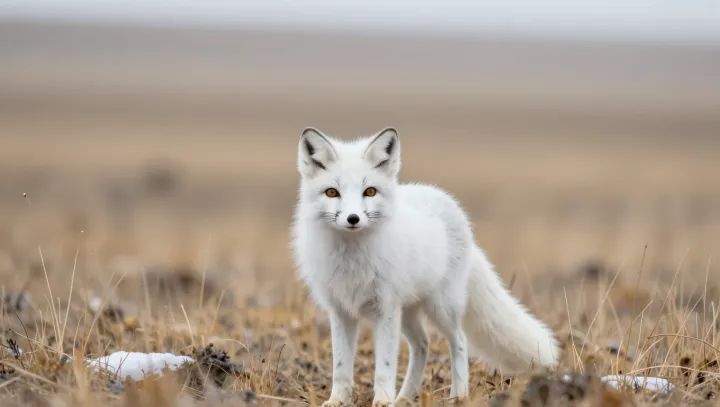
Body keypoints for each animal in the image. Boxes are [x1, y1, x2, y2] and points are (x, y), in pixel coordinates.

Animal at [291, 127, 559, 406]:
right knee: (423, 345)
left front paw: (382, 401)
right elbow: (341, 367)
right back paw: (405, 397)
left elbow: (384, 366)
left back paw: (457, 395)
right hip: (409, 312)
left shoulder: (385, 310)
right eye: (332, 192)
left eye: (370, 192)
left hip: (441, 307)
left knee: (459, 342)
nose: (353, 219)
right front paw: (338, 400)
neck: (351, 261)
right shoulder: (341, 311)